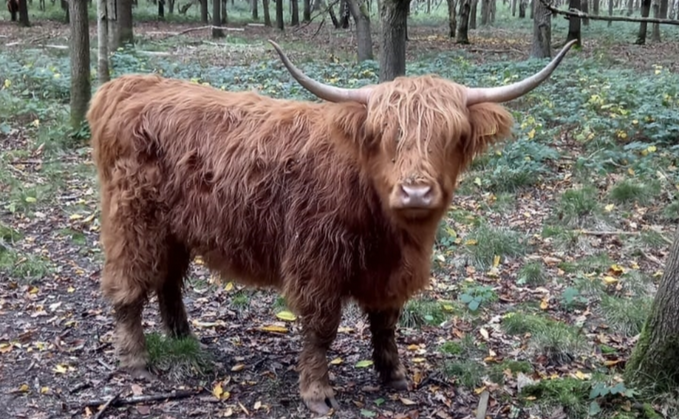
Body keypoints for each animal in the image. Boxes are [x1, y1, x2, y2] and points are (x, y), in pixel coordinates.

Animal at [87, 40, 576, 416]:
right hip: (133, 221)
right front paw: (318, 393)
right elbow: (322, 330)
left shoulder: (388, 272)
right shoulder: (317, 262)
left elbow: (385, 322)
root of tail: (130, 84)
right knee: (128, 286)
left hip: (176, 228)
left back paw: (185, 338)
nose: (416, 192)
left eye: (452, 137)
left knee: (168, 280)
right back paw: (136, 360)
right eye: (384, 135)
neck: (389, 230)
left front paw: (393, 376)